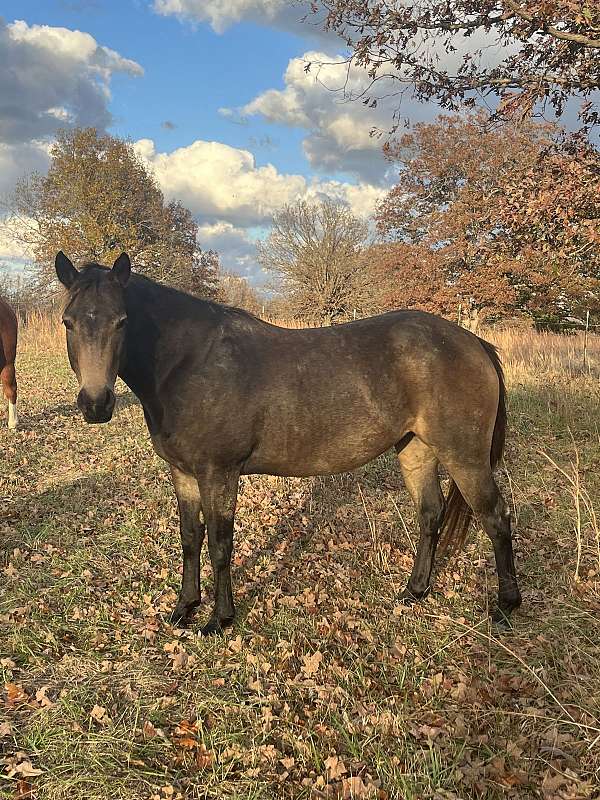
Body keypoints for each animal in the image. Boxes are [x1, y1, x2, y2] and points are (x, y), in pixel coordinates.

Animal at [56, 253, 524, 636]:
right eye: (69, 322)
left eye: (121, 321)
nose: (96, 404)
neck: (190, 364)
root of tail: (472, 342)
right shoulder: (184, 473)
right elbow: (190, 538)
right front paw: (184, 609)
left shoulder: (218, 473)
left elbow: (220, 544)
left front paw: (219, 619)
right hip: (415, 449)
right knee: (430, 513)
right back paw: (415, 591)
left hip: (465, 457)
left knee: (496, 518)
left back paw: (506, 606)